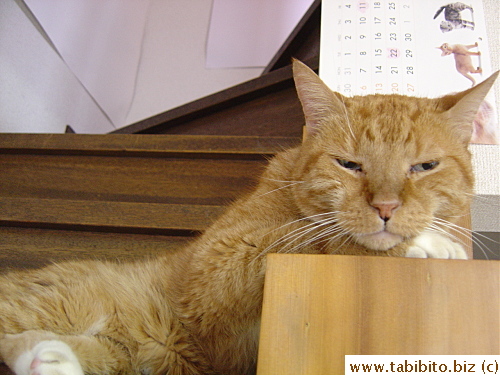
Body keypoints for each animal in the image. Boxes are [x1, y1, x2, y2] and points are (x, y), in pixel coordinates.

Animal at [1, 60, 498, 374]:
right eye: (349, 165)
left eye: (425, 167)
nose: (387, 208)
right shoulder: (213, 273)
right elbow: (313, 237)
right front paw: (426, 244)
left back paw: (49, 358)